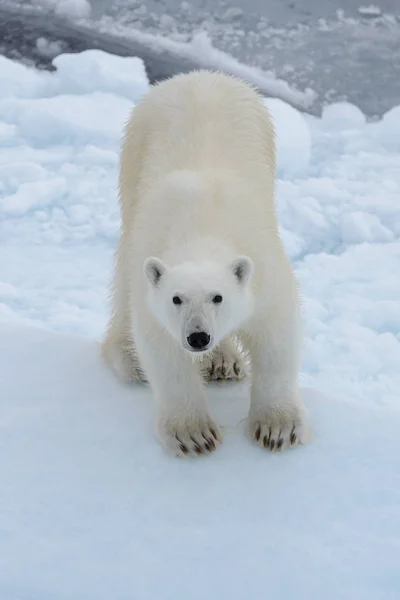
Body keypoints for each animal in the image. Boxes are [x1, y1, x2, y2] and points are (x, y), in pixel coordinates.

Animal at [101, 69, 308, 454]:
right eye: (176, 299)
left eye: (218, 297)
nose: (198, 337)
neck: (202, 227)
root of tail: (196, 75)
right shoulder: (151, 262)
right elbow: (162, 347)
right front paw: (193, 434)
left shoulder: (264, 267)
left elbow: (275, 336)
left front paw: (278, 427)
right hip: (134, 152)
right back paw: (128, 358)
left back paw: (224, 361)